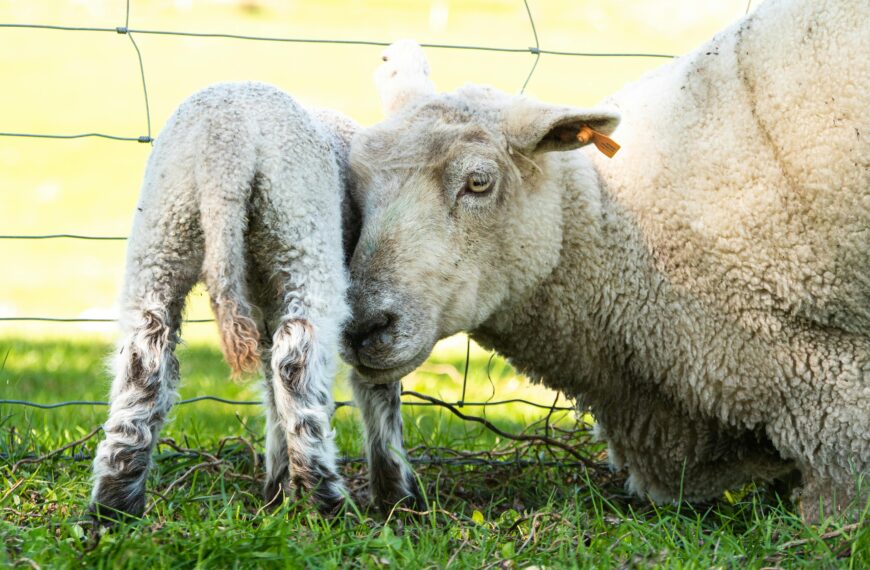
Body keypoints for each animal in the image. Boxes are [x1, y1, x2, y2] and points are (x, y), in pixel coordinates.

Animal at [89, 81, 362, 520]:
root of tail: (224, 145)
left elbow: (270, 389)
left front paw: (276, 486)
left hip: (161, 235)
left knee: (144, 360)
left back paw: (114, 505)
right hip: (300, 234)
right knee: (296, 363)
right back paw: (324, 500)